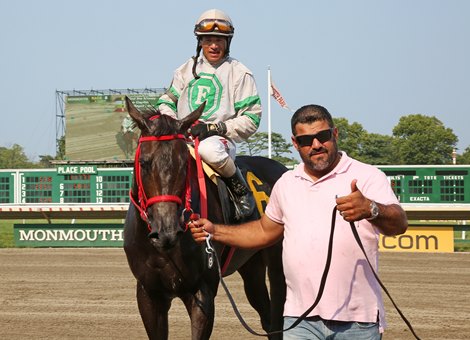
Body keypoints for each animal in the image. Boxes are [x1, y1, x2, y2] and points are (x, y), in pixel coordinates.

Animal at [122, 96, 286, 340]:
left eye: (184, 164)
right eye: (144, 162)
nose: (166, 232)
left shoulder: (202, 291)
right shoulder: (149, 293)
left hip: (278, 265)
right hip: (251, 265)